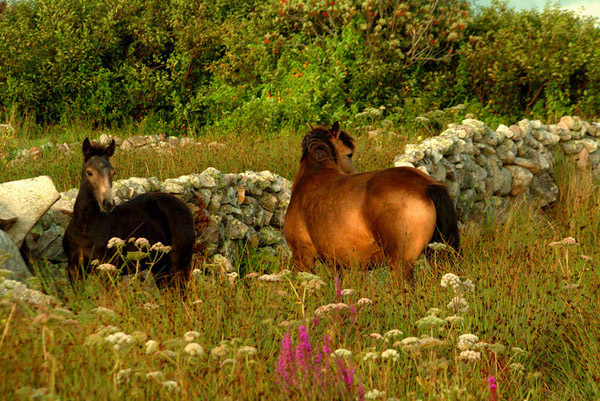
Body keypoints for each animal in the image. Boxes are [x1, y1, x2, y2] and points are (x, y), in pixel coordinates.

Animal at [62, 138, 196, 288]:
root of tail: (184, 206)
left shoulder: (108, 271)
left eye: (113, 172)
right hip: (159, 266)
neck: (85, 229)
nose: (108, 203)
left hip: (179, 264)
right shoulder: (74, 270)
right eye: (89, 172)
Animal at [284, 122, 460, 282]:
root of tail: (425, 185)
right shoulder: (336, 264)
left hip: (401, 264)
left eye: (349, 154)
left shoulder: (303, 258)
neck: (312, 177)